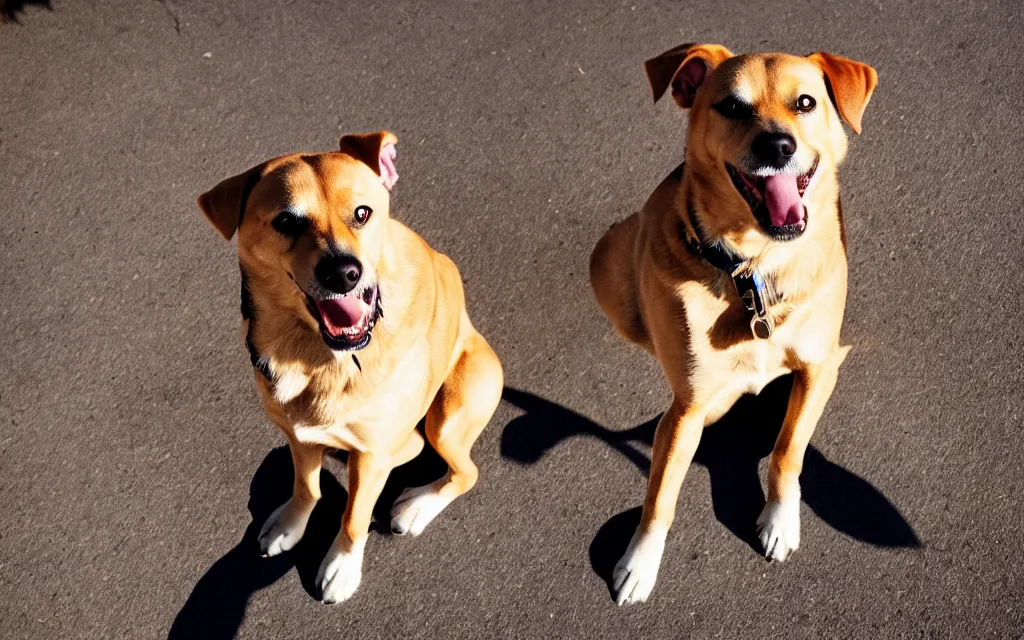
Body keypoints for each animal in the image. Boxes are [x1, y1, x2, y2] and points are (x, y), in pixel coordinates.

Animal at [197, 132, 501, 602]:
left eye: (362, 213)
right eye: (286, 221)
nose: (344, 273)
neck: (317, 356)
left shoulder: (372, 455)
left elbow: (355, 516)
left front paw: (342, 565)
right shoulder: (298, 434)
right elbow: (306, 485)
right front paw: (291, 525)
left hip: (448, 415)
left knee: (464, 471)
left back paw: (417, 506)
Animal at [589, 45, 876, 602]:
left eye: (805, 102)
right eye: (730, 106)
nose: (779, 145)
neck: (756, 270)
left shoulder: (819, 368)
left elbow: (789, 449)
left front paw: (780, 520)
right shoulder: (685, 410)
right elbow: (660, 493)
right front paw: (640, 560)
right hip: (607, 260)